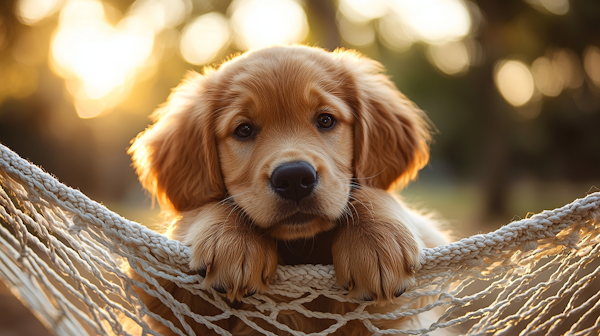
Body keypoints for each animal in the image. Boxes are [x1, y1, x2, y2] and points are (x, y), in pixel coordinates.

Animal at [130, 45, 450, 336]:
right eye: (243, 130)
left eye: (326, 119)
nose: (294, 177)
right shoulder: (164, 296)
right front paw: (230, 239)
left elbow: (372, 192)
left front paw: (377, 240)